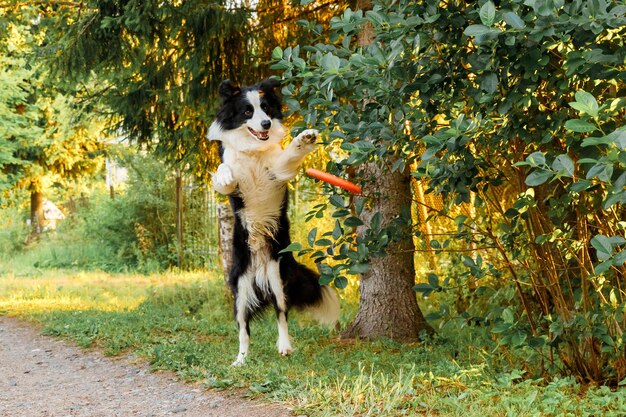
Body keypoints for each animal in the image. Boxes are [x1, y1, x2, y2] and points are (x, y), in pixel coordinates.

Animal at [207, 77, 338, 364]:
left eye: (266, 108)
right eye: (247, 111)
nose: (266, 124)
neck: (253, 149)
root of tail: (259, 277)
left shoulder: (277, 170)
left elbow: (289, 154)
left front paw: (304, 138)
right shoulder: (234, 182)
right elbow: (223, 172)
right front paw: (224, 175)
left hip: (278, 278)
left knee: (281, 315)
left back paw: (284, 346)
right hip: (240, 291)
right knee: (243, 329)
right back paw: (240, 360)